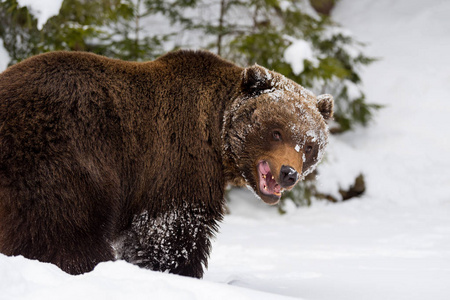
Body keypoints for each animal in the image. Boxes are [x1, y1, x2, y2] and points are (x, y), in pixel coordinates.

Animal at [0, 49, 330, 278]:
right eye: (276, 132)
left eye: (310, 145)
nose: (288, 173)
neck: (216, 136)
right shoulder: (176, 162)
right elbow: (172, 232)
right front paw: (178, 273)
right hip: (60, 153)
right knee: (62, 228)